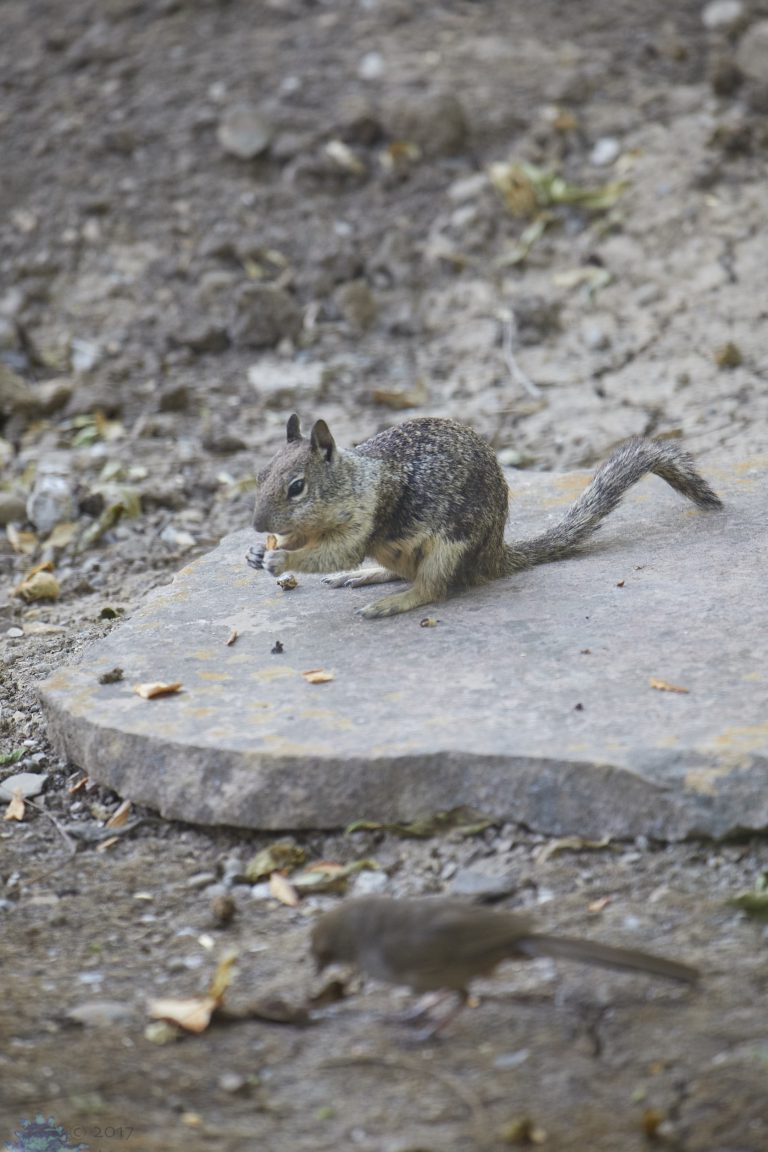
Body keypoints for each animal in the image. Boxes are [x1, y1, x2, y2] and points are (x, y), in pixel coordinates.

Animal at [246, 414, 723, 620]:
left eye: (296, 487)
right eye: (260, 474)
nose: (256, 526)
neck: (353, 479)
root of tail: (495, 553)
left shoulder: (364, 519)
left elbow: (336, 552)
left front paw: (281, 558)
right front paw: (257, 553)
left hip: (449, 546)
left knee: (432, 589)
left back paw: (390, 602)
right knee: (402, 572)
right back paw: (366, 577)